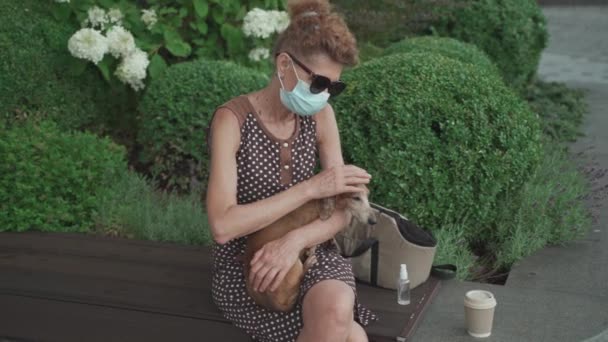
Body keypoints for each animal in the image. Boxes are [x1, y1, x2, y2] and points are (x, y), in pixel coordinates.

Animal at [241, 183, 376, 312]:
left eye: (368, 196)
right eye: (356, 198)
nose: (373, 221)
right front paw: (313, 249)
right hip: (293, 263)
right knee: (300, 278)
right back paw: (308, 263)